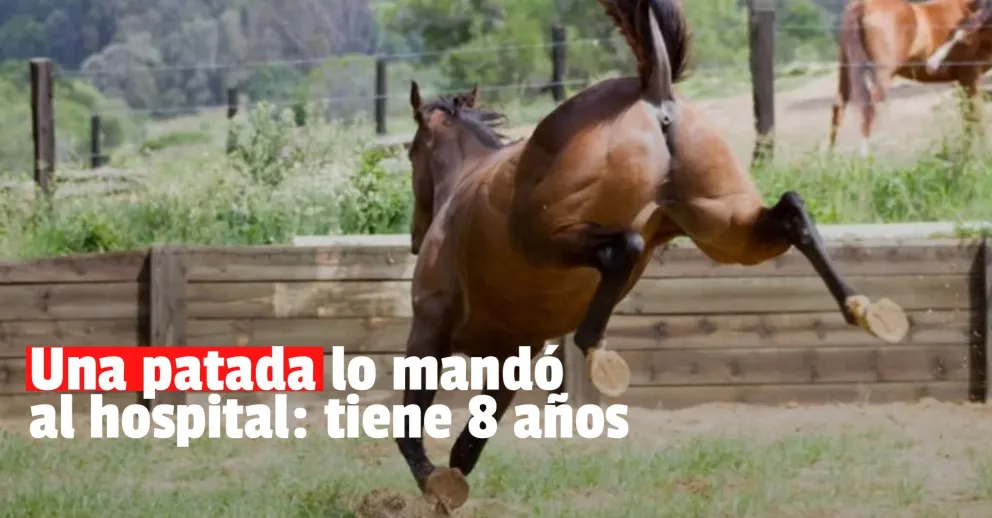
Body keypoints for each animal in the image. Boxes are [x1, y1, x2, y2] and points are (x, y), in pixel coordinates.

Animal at [398, 0, 910, 512]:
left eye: (409, 151)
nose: (415, 236)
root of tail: (653, 90)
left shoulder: (432, 326)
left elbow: (412, 431)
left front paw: (432, 483)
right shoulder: (516, 353)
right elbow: (467, 449)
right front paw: (447, 486)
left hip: (542, 237)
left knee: (626, 247)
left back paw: (598, 350)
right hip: (724, 229)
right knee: (793, 210)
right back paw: (866, 309)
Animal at [829, 0, 989, 157]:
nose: (932, 65)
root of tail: (862, 5)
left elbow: (968, 117)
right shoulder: (970, 76)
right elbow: (976, 116)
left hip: (846, 70)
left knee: (839, 108)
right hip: (880, 75)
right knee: (868, 110)